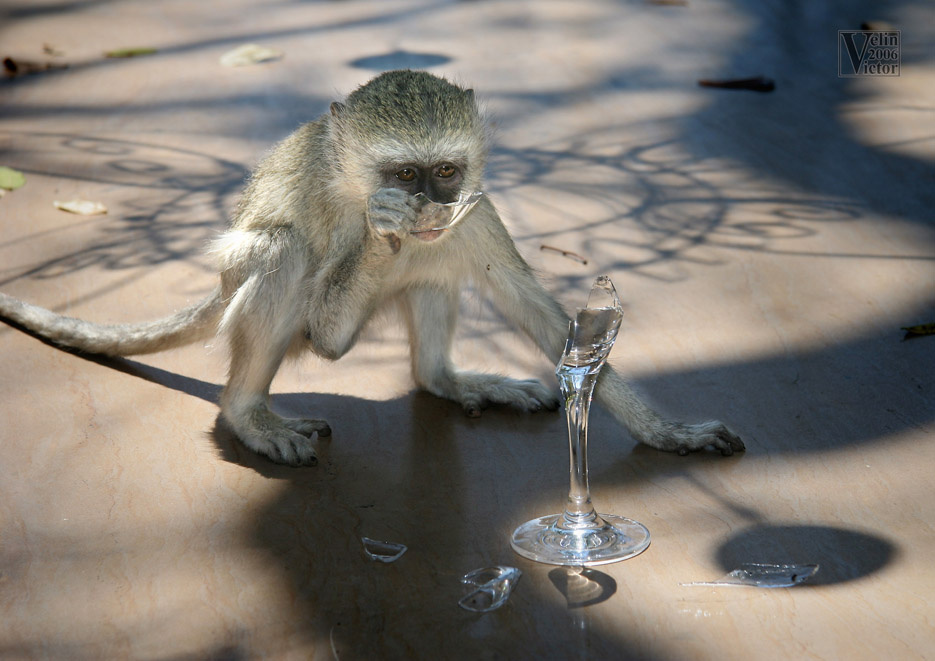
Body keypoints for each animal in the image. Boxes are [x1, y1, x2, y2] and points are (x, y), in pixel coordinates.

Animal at [0, 70, 744, 466]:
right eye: (404, 175)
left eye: (444, 172)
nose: (425, 209)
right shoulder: (350, 227)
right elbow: (326, 336)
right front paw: (383, 231)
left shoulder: (474, 211)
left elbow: (534, 308)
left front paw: (664, 432)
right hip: (243, 272)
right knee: (282, 250)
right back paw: (247, 414)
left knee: (437, 275)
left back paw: (443, 377)